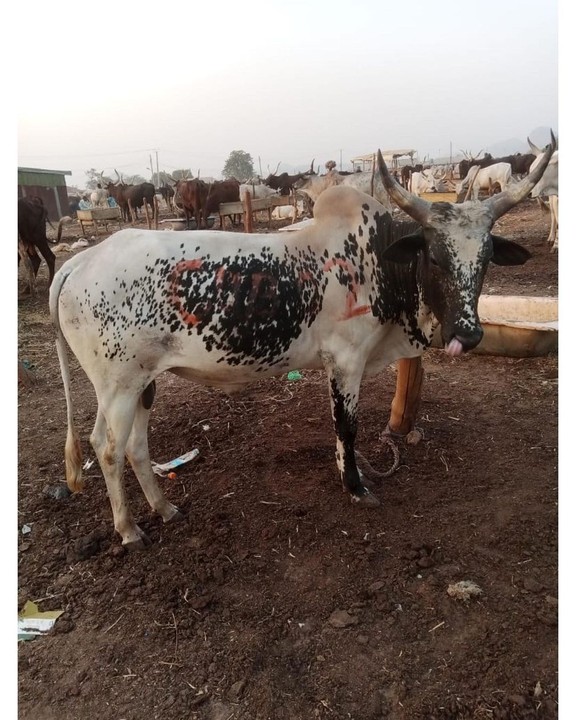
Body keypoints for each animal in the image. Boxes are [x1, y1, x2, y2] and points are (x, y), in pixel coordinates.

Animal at [49, 136, 554, 549]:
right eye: (434, 255)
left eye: (486, 257)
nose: (468, 333)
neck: (377, 261)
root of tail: (81, 261)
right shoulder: (346, 361)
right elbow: (347, 427)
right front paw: (356, 486)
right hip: (118, 385)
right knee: (107, 449)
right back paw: (129, 529)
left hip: (142, 383)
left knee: (135, 446)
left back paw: (165, 508)